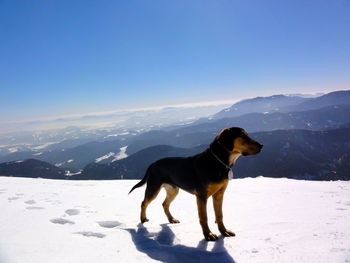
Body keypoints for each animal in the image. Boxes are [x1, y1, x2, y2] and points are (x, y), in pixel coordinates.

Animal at [129, 127, 262, 241]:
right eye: (243, 136)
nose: (261, 146)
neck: (218, 162)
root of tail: (152, 164)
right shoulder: (202, 196)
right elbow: (204, 217)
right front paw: (208, 235)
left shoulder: (219, 194)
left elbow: (219, 215)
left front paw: (224, 232)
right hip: (154, 187)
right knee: (144, 202)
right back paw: (143, 219)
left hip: (173, 190)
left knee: (164, 204)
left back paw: (171, 219)